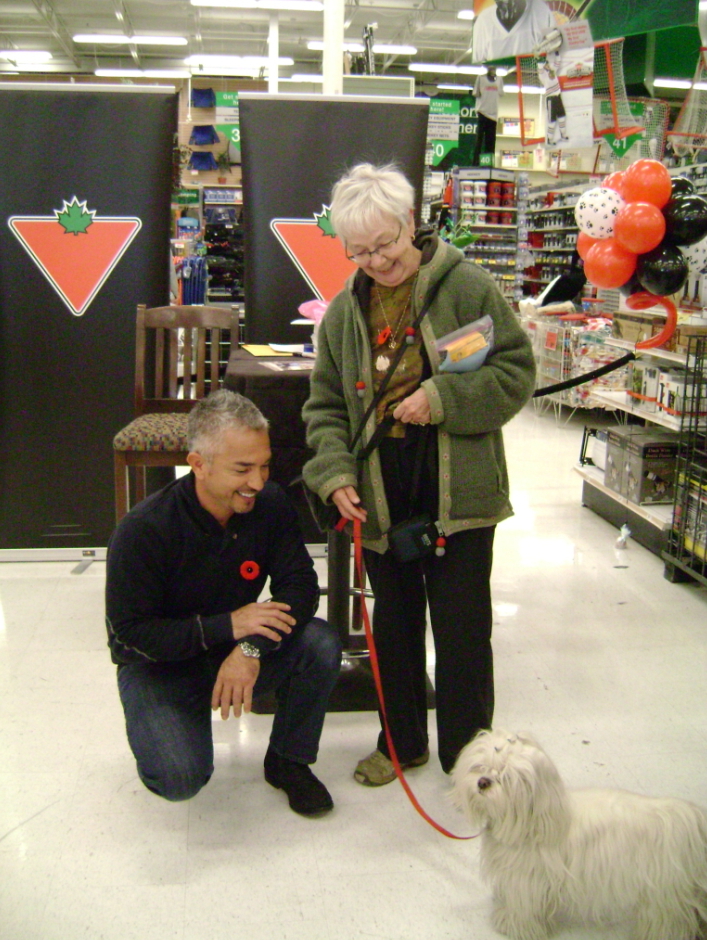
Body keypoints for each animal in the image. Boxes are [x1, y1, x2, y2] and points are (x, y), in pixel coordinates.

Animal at [454, 736, 707, 940]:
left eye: (506, 778)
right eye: (480, 767)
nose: (482, 782)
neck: (533, 822)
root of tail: (689, 816)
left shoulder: (527, 880)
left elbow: (523, 908)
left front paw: (513, 925)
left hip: (663, 893)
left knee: (669, 921)